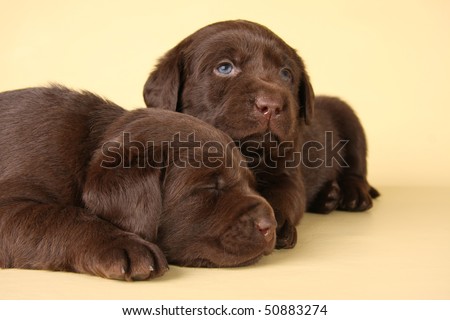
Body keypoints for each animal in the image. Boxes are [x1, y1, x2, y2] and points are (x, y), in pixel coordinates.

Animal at [143, 20, 380, 250]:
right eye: (224, 67)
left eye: (286, 74)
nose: (272, 105)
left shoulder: (287, 174)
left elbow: (284, 196)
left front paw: (279, 224)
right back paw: (329, 196)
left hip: (348, 117)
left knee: (357, 167)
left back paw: (353, 194)